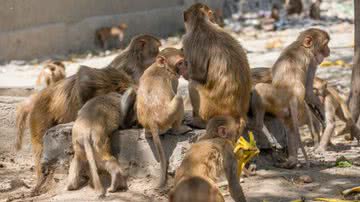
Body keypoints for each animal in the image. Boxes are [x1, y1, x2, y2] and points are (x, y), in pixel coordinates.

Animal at [136, 47, 191, 188]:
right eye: (179, 63)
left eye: (183, 61)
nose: (185, 68)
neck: (160, 67)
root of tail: (152, 121)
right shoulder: (174, 78)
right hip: (167, 118)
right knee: (179, 98)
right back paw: (179, 130)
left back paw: (148, 134)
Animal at [183, 2, 250, 134]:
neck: (201, 22)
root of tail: (239, 114)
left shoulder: (187, 41)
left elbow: (198, 74)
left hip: (211, 108)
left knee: (193, 84)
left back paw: (200, 122)